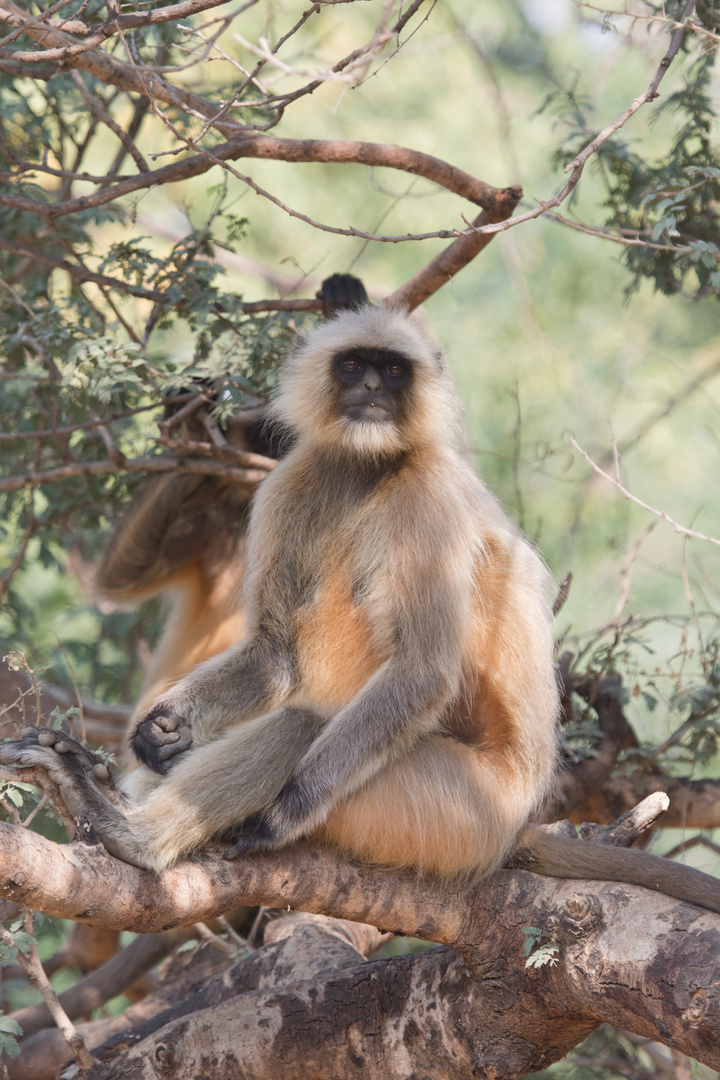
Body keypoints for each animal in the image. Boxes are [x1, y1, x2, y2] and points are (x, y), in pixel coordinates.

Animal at [4, 306, 720, 920]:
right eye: (353, 366)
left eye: (393, 370)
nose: (373, 386)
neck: (368, 466)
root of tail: (517, 822)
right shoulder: (293, 479)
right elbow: (273, 653)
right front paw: (164, 729)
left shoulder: (428, 497)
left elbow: (422, 672)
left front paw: (276, 815)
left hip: (448, 810)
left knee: (304, 723)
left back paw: (131, 835)